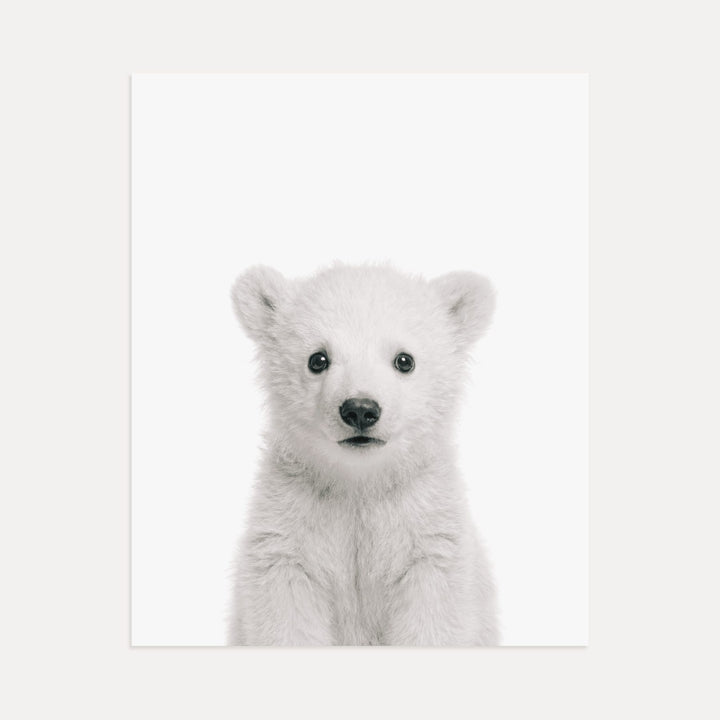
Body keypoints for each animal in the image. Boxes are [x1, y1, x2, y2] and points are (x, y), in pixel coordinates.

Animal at [227, 263, 499, 646]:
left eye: (404, 360)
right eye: (317, 359)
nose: (360, 409)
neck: (360, 484)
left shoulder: (428, 536)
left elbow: (432, 618)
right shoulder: (288, 533)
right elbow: (286, 616)